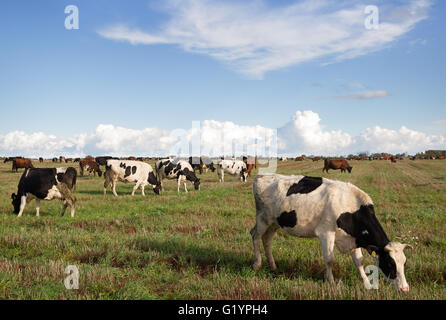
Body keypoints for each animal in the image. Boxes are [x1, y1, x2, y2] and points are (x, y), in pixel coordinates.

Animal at [249, 174, 412, 292]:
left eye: (404, 263)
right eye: (390, 263)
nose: (405, 289)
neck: (351, 208)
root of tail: (262, 175)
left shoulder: (353, 238)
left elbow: (359, 261)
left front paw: (366, 283)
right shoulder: (326, 232)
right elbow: (330, 259)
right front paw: (331, 281)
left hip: (274, 223)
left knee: (267, 240)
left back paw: (273, 266)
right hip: (263, 218)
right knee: (255, 235)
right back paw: (257, 264)